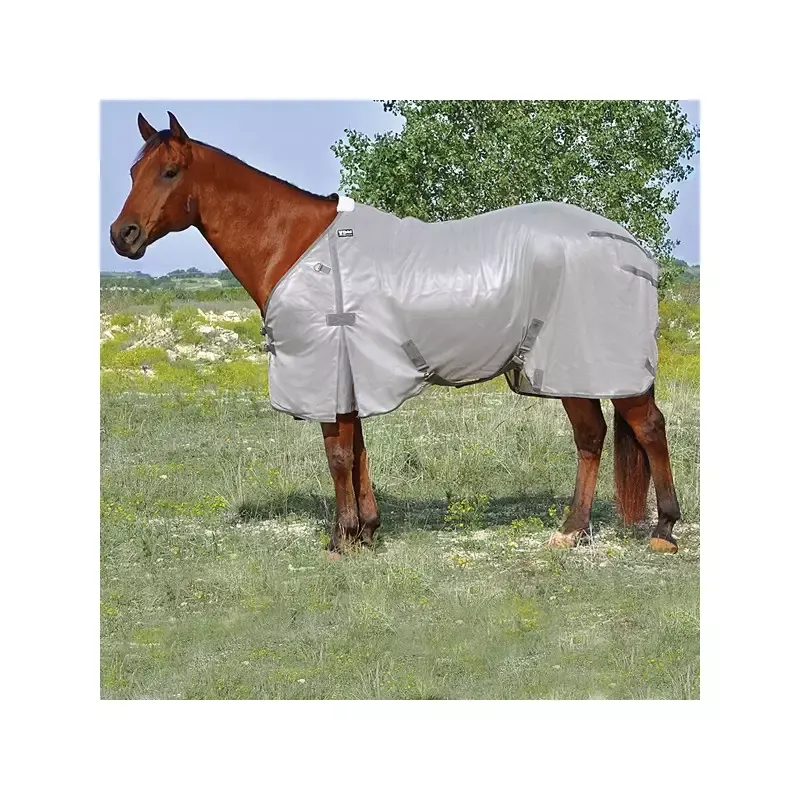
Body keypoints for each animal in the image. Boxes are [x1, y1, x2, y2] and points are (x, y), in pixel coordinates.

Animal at [110, 111, 681, 556]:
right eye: (133, 170)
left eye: (170, 171)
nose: (122, 236)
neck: (298, 246)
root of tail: (628, 245)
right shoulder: (349, 374)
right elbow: (358, 450)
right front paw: (366, 532)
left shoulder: (326, 371)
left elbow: (338, 455)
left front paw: (341, 540)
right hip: (565, 368)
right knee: (592, 437)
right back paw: (572, 532)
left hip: (596, 365)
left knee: (648, 428)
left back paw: (664, 530)